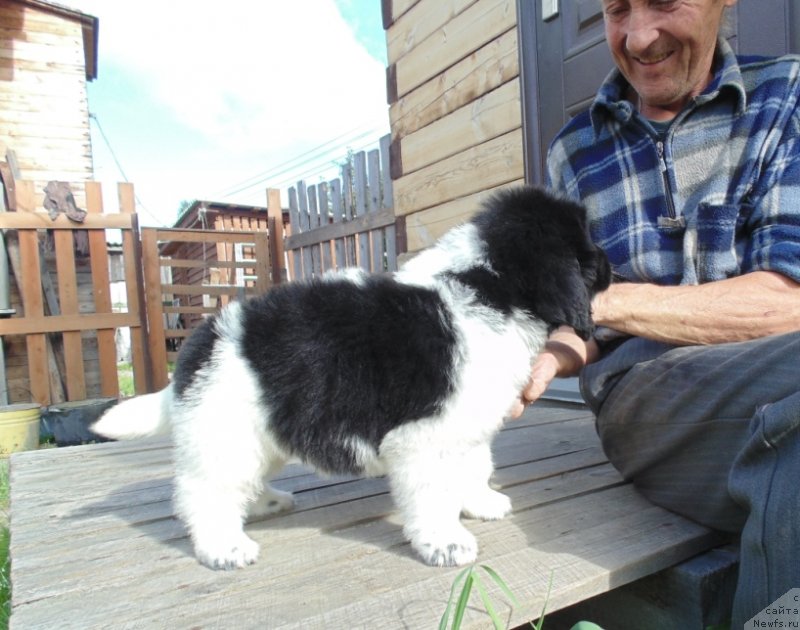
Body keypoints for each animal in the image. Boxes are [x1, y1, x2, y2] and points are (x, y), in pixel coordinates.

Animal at [94, 186, 608, 572]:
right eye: (586, 245)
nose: (611, 264)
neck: (485, 285)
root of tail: (199, 347)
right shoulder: (423, 436)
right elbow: (435, 491)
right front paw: (445, 541)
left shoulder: (467, 421)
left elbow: (475, 465)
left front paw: (480, 502)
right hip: (225, 431)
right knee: (206, 493)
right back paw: (224, 547)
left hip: (259, 431)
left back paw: (264, 505)